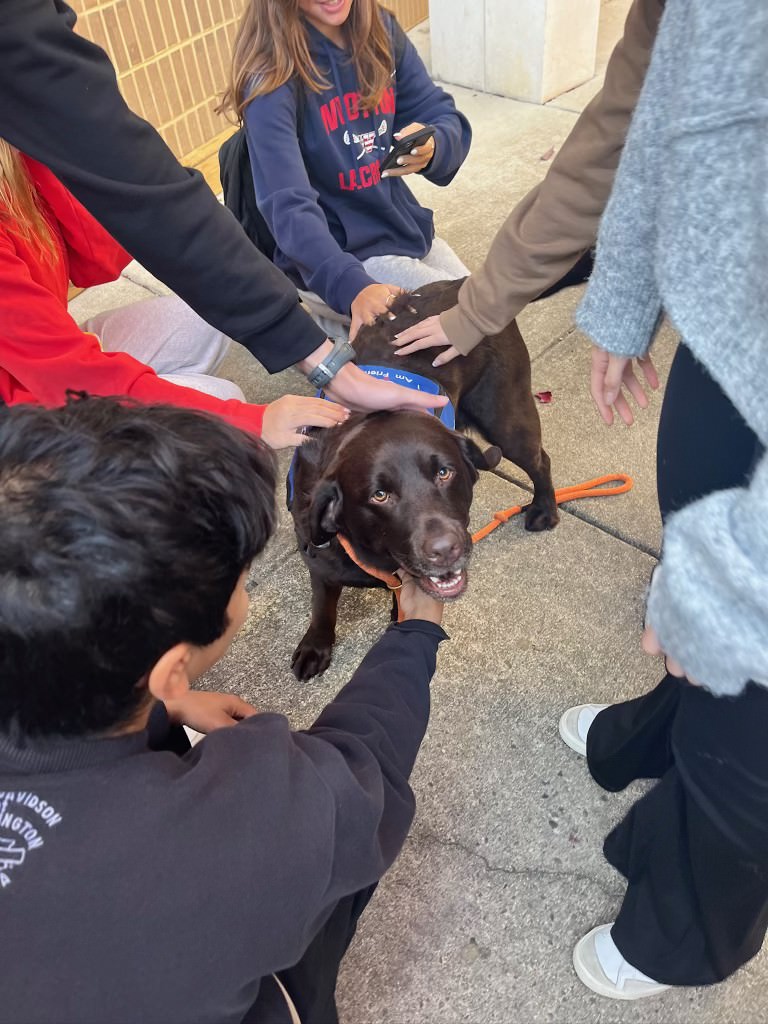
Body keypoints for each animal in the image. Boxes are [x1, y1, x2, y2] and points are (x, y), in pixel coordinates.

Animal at [288, 276, 561, 684]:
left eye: (444, 472)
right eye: (379, 495)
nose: (446, 550)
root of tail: (462, 283)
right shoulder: (319, 562)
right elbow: (322, 604)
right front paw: (315, 645)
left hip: (505, 417)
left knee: (540, 460)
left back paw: (545, 508)